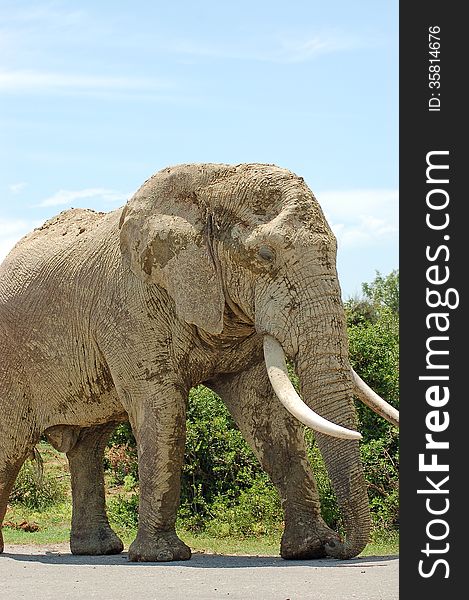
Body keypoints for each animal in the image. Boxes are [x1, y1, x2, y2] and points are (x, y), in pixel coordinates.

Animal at [0, 162, 398, 560]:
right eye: (266, 255)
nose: (337, 545)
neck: (213, 184)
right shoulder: (129, 305)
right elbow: (162, 406)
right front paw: (161, 556)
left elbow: (267, 413)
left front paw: (309, 549)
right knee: (12, 444)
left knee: (89, 446)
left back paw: (97, 550)